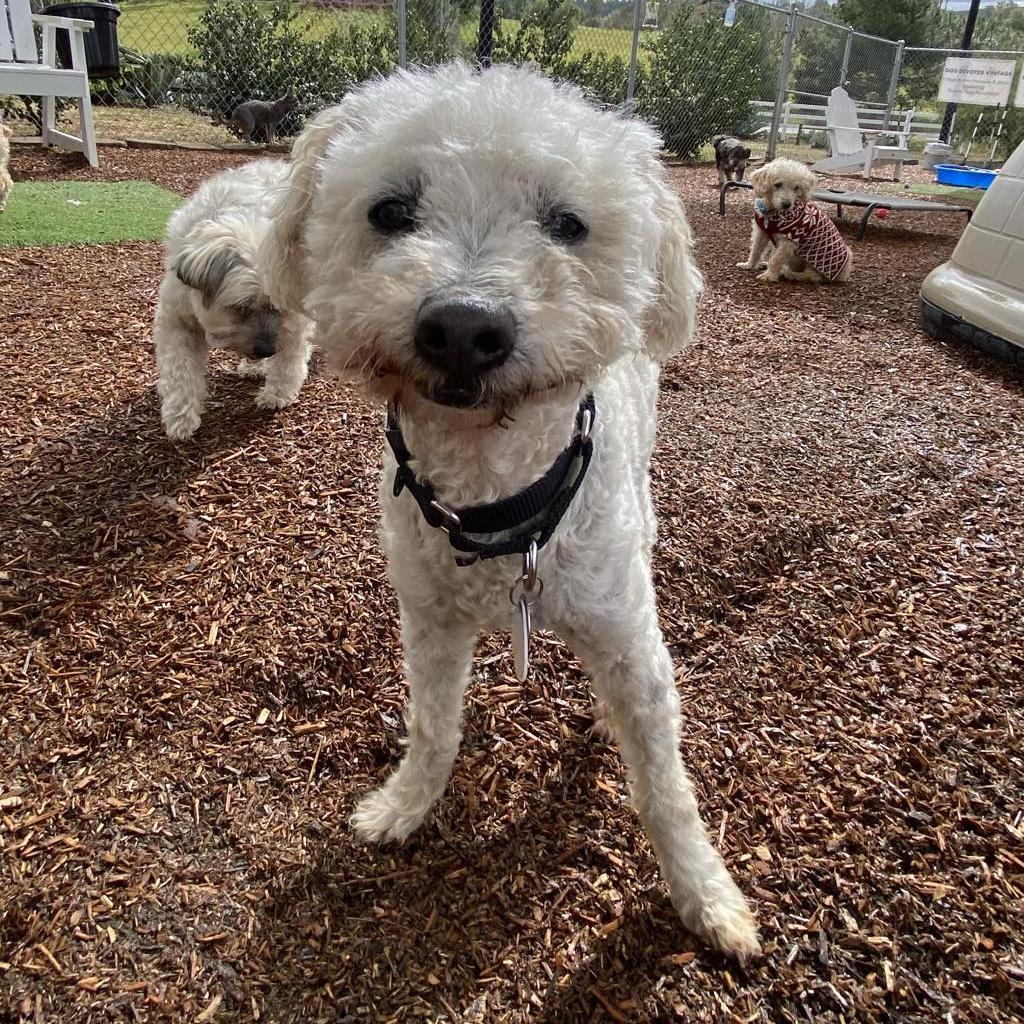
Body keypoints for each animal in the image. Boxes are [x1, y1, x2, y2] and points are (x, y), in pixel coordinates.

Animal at [264, 64, 761, 958]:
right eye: (389, 211)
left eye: (566, 223)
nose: (463, 326)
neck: (495, 495)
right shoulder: (428, 623)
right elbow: (433, 725)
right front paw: (405, 805)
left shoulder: (628, 639)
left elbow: (665, 785)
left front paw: (706, 898)